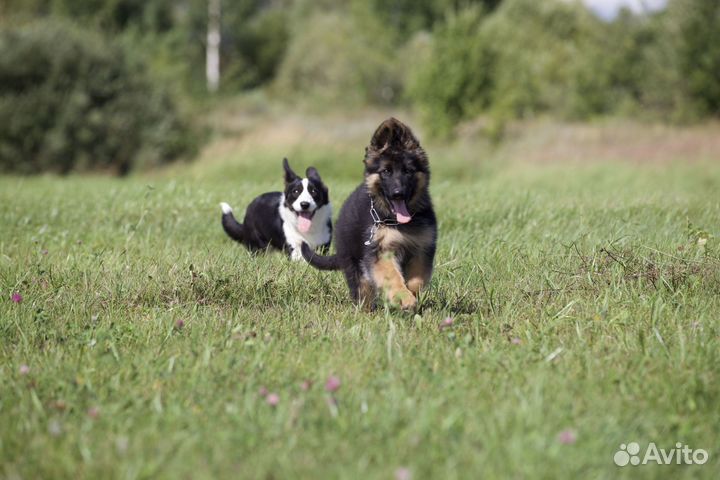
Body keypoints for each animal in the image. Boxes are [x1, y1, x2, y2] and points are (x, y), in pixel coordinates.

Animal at [300, 118, 436, 310]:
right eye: (386, 171)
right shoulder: (380, 251)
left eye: (408, 171)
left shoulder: (422, 249)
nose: (398, 193)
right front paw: (403, 297)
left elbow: (418, 280)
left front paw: (410, 295)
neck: (397, 222)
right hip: (354, 263)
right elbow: (391, 276)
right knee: (362, 289)